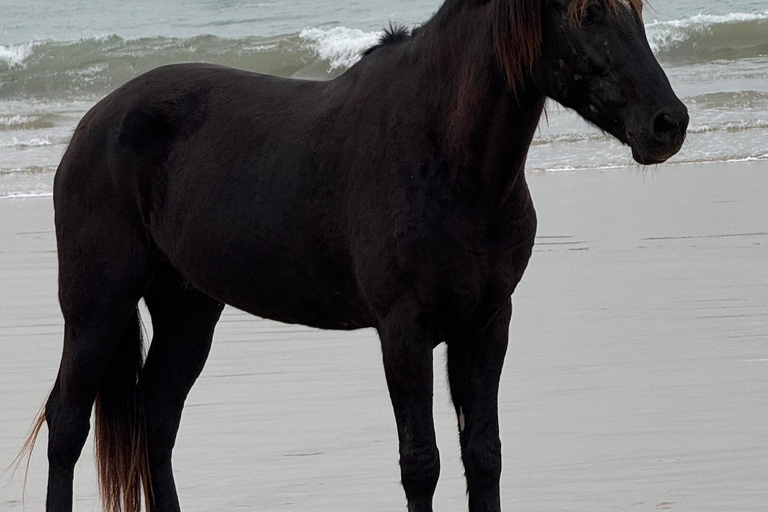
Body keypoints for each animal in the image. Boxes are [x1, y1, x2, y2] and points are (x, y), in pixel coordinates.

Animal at [20, 0, 688, 511]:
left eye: (634, 10)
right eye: (588, 12)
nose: (668, 123)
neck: (443, 157)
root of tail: (94, 122)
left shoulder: (486, 323)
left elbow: (484, 455)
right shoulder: (404, 331)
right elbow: (421, 462)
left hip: (188, 308)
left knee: (156, 422)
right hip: (97, 306)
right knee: (68, 423)